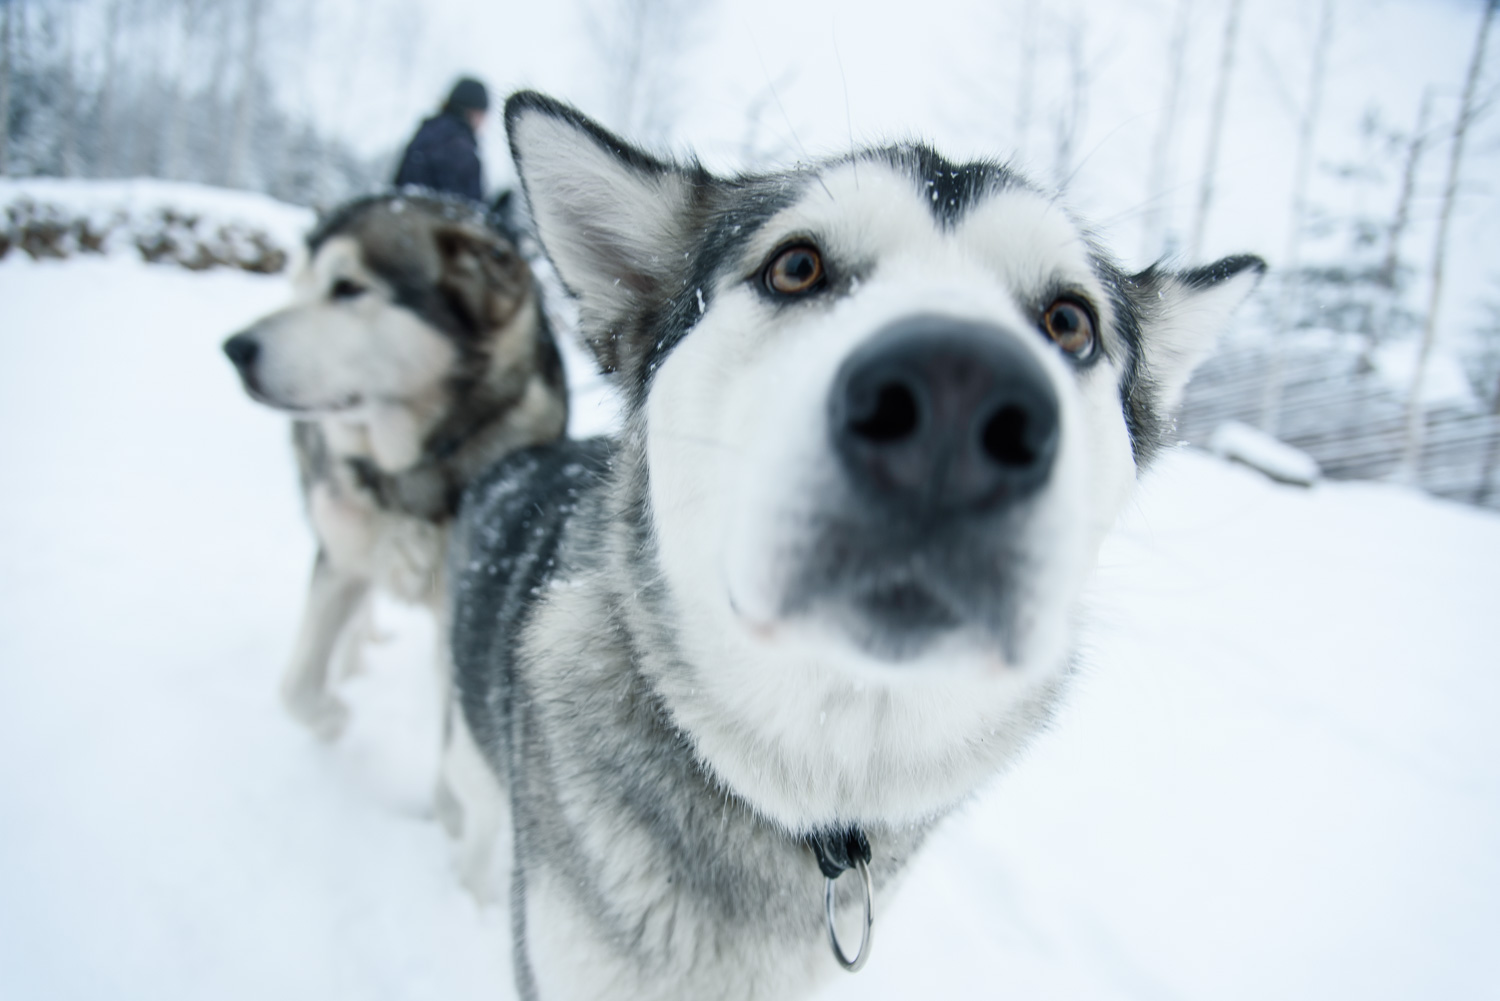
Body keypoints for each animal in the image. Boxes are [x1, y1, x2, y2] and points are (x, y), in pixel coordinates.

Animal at [222, 193, 567, 744]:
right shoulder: (337, 560)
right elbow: (296, 688)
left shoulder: (455, 612)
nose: (234, 349)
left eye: (348, 288)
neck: (412, 465)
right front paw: (331, 721)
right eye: (298, 284)